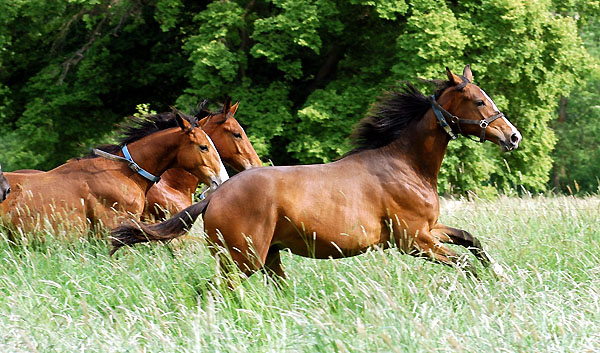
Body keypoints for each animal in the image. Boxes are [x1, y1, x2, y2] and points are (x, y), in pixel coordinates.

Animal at [111, 65, 520, 284]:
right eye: (479, 100)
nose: (512, 136)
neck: (405, 165)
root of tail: (215, 196)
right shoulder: (414, 240)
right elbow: (465, 264)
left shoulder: (430, 230)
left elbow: (471, 241)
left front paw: (501, 273)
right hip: (243, 261)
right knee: (213, 292)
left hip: (269, 259)